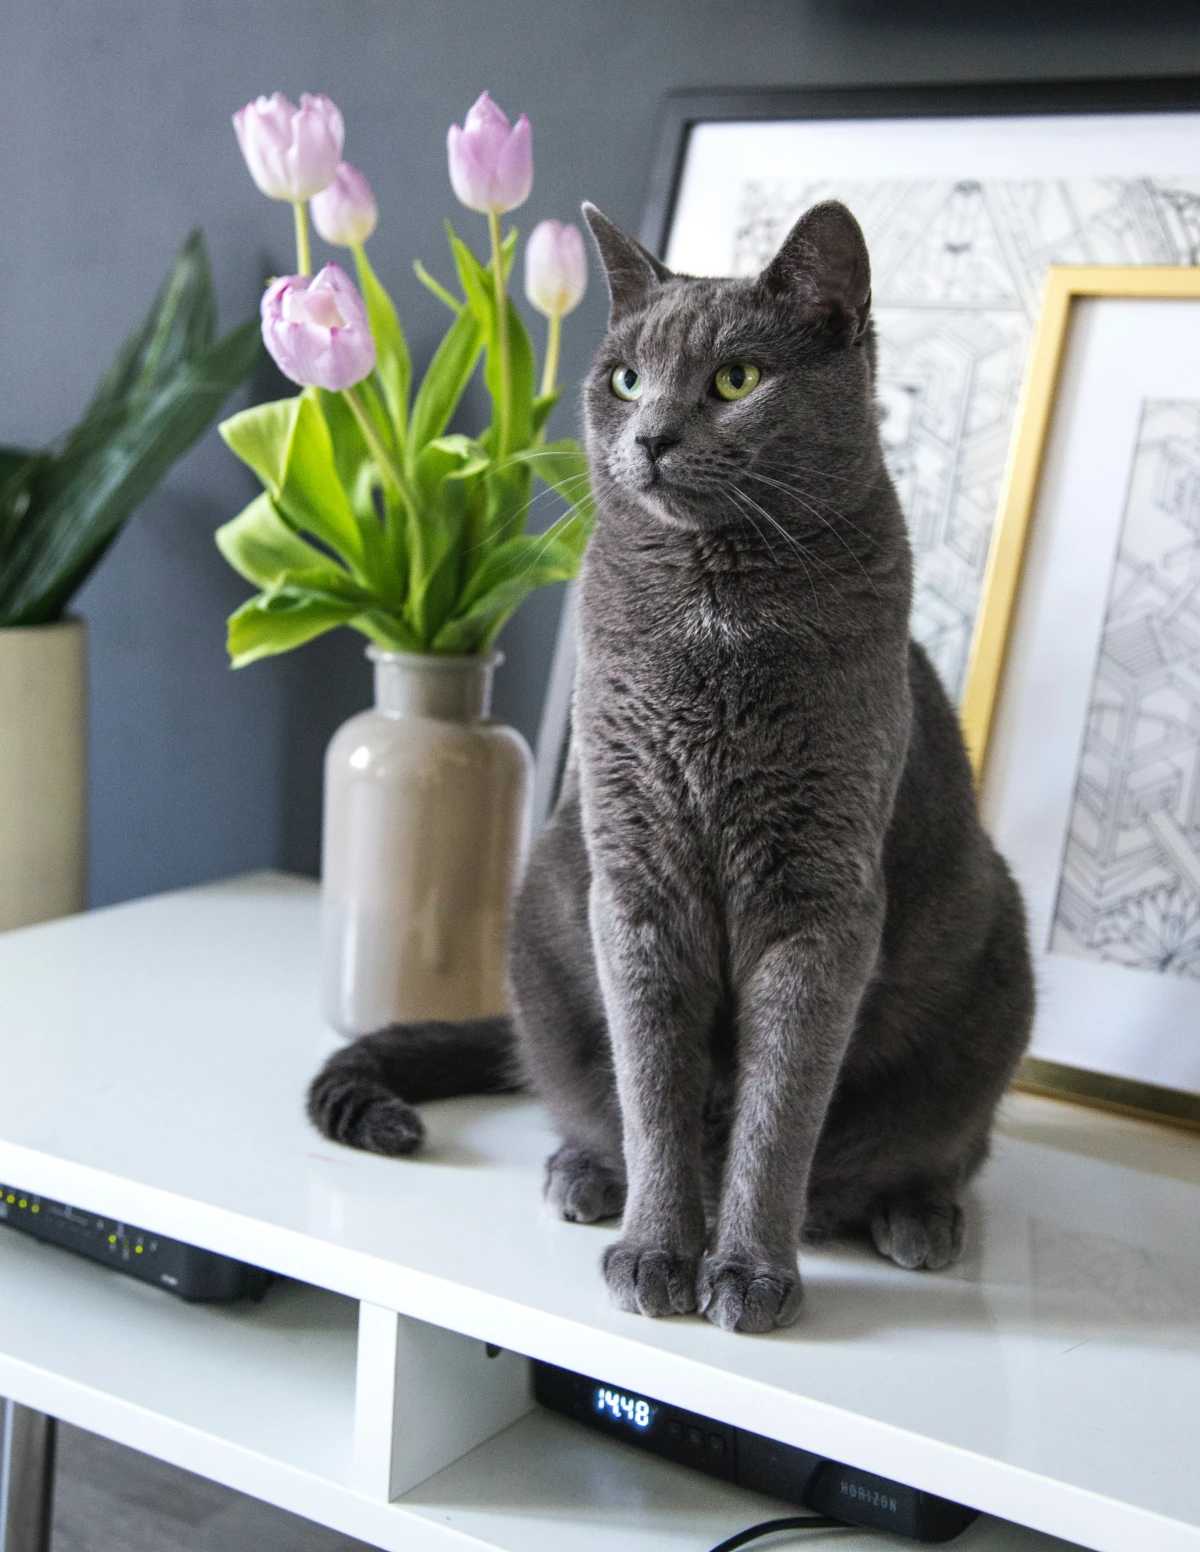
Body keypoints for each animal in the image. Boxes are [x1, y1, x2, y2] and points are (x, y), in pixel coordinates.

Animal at [308, 203, 1030, 1334]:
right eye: (624, 378)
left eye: (736, 379)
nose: (648, 436)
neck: (711, 611)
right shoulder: (635, 874)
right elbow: (654, 1087)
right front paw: (659, 1249)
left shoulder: (820, 899)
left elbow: (780, 1110)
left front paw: (748, 1271)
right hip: (547, 912)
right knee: (587, 1097)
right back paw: (583, 1174)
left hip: (996, 957)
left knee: (949, 1145)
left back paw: (915, 1215)